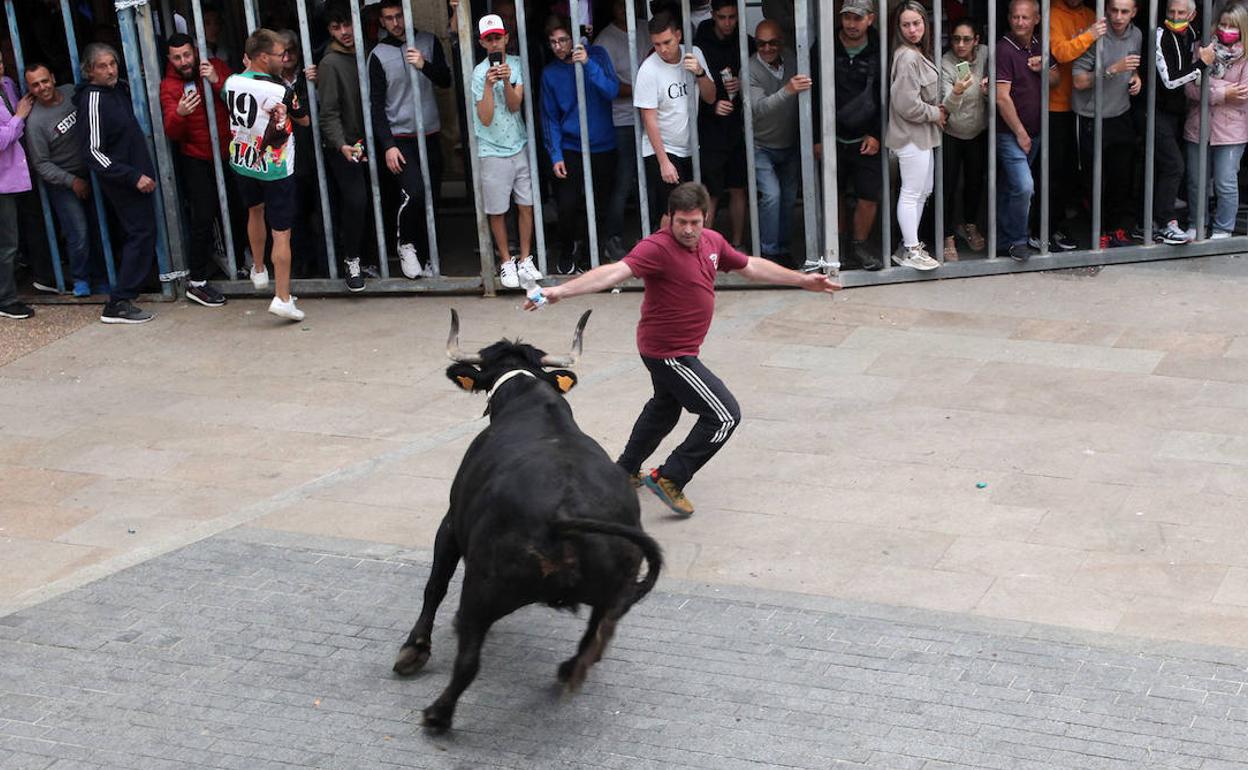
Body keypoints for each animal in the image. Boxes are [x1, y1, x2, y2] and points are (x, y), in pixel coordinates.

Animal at [391, 309, 663, 728]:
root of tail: (566, 517)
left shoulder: (450, 524)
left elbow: (434, 585)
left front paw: (415, 648)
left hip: (482, 587)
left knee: (468, 658)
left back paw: (438, 714)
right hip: (613, 598)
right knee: (594, 643)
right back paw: (569, 671)